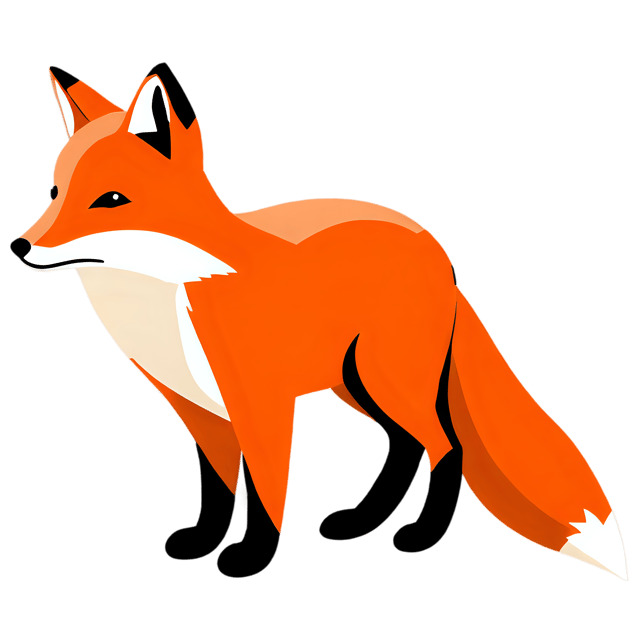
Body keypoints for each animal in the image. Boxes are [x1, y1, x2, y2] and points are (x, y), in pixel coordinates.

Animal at [9, 62, 628, 580]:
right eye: (54, 191)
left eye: (111, 199)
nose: (20, 246)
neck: (175, 292)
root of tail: (434, 245)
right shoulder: (198, 408)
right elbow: (217, 490)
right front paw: (203, 543)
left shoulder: (261, 404)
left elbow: (263, 492)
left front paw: (251, 558)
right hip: (354, 383)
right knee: (404, 445)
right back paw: (360, 521)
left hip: (385, 378)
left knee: (445, 445)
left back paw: (421, 536)